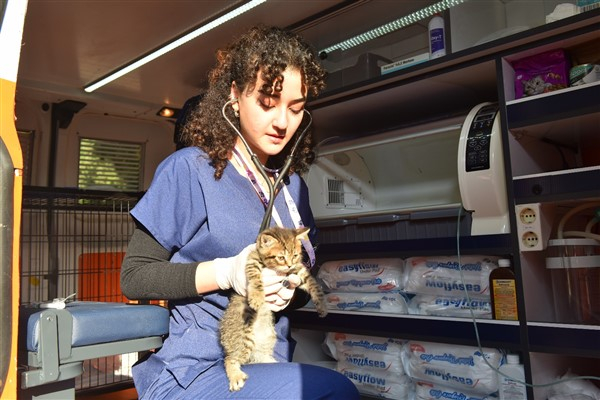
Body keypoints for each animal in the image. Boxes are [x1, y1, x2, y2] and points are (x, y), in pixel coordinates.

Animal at [219, 227, 326, 392]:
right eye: (281, 257)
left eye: (295, 255)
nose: (288, 265)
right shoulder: (252, 259)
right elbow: (255, 277)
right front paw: (257, 297)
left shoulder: (298, 269)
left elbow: (313, 284)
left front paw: (321, 305)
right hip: (243, 338)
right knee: (229, 358)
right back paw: (235, 376)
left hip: (266, 340)